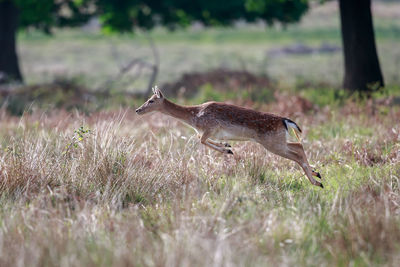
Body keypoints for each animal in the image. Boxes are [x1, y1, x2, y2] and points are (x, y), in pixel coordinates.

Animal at [136, 87, 324, 188]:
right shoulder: (208, 131)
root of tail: (285, 121)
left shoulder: (210, 127)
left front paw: (227, 150)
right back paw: (317, 174)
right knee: (298, 146)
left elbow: (201, 140)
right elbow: (201, 139)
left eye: (151, 100)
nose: (138, 110)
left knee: (296, 153)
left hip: (272, 143)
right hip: (278, 141)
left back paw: (316, 182)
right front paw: (227, 146)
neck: (194, 117)